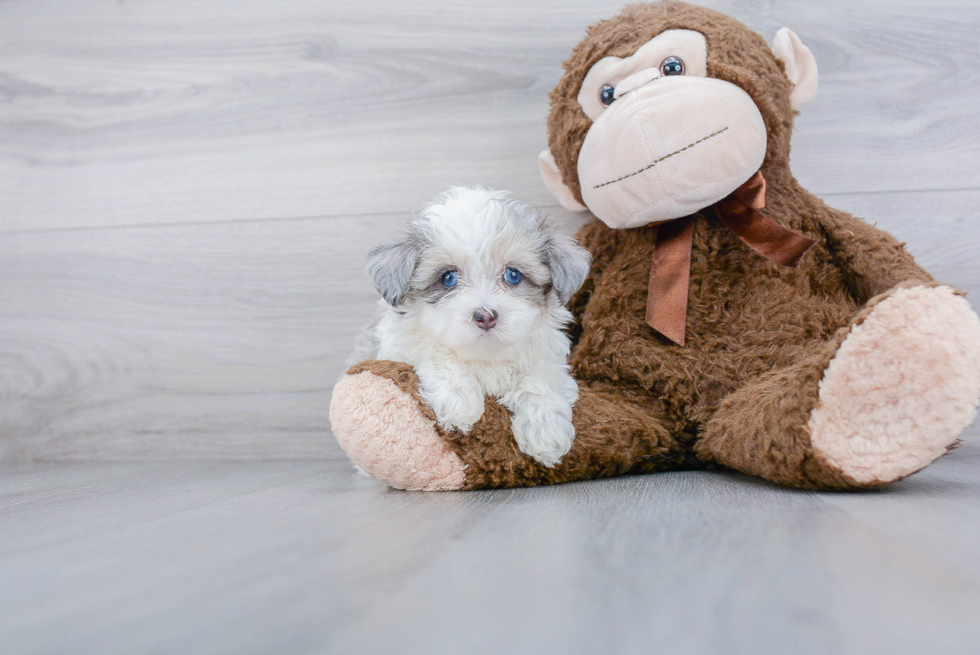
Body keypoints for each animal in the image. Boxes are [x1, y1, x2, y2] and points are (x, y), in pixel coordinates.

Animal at [356, 187, 592, 468]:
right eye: (448, 278)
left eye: (513, 275)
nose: (485, 316)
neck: (484, 354)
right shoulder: (400, 345)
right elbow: (435, 352)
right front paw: (458, 401)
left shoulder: (546, 354)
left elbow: (540, 379)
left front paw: (545, 431)